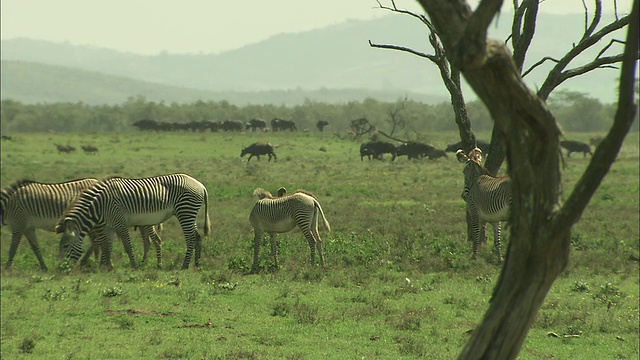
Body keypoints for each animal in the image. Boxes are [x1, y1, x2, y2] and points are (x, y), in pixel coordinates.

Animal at [55, 173, 210, 268]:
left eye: (65, 246)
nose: (62, 268)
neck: (100, 205)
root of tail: (201, 185)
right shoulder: (109, 226)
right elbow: (106, 246)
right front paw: (107, 267)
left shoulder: (120, 223)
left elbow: (127, 246)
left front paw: (134, 265)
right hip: (189, 214)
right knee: (197, 237)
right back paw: (196, 264)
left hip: (185, 211)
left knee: (190, 238)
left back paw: (185, 265)